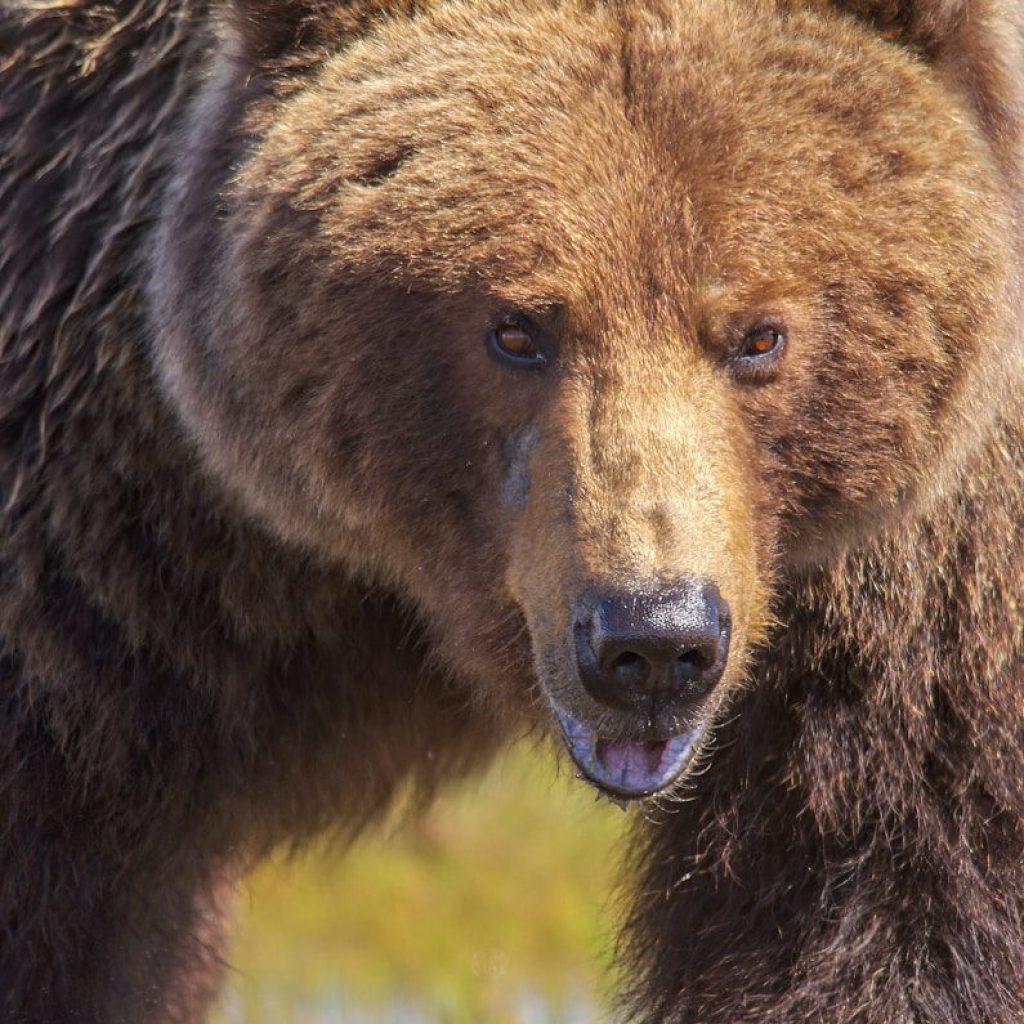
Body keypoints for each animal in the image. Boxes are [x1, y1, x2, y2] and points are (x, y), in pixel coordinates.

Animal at [0, 0, 1021, 1021]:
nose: (653, 643)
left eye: (759, 335)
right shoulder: (108, 525)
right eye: (517, 329)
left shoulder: (920, 592)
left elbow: (890, 885)